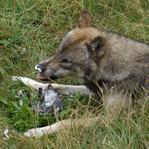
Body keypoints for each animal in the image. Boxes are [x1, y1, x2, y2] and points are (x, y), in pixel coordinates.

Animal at [12, 10, 149, 137]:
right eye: (58, 51)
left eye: (66, 61)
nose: (39, 67)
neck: (113, 68)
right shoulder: (94, 91)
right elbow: (58, 86)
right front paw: (23, 80)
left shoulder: (114, 118)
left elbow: (65, 122)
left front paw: (36, 131)